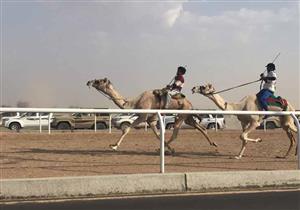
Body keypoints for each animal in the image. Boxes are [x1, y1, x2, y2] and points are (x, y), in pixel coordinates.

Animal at [86, 77, 218, 153]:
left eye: (98, 81)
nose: (88, 82)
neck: (134, 102)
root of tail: (190, 103)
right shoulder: (151, 120)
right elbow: (158, 135)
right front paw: (169, 149)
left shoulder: (143, 116)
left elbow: (126, 129)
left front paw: (113, 146)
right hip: (187, 117)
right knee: (201, 128)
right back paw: (214, 144)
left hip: (182, 115)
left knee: (176, 133)